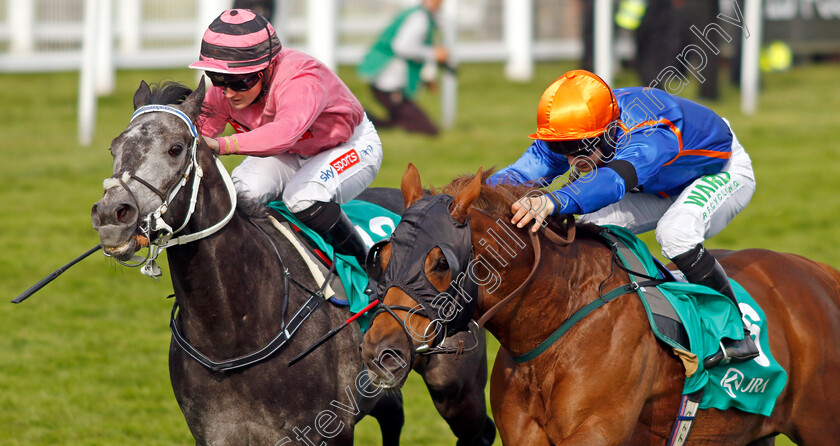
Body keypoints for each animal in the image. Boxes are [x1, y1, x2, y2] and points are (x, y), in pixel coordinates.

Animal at [362, 165, 840, 446]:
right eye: (382, 256)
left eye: (440, 262)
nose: (378, 350)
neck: (556, 325)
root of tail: (819, 273)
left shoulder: (594, 433)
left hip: (821, 425)